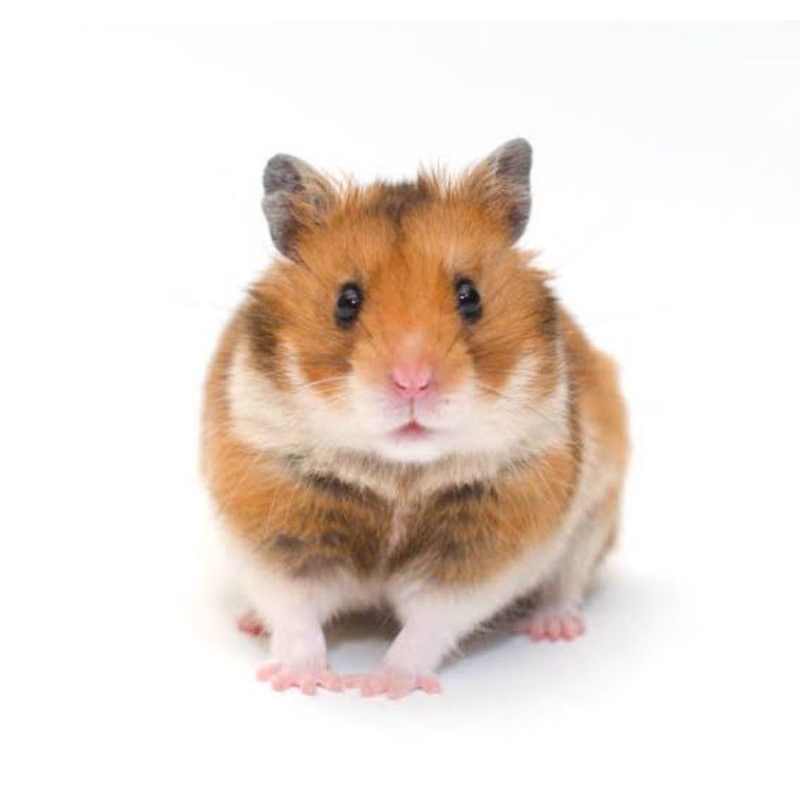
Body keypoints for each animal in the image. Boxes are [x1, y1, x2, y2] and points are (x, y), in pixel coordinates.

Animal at [202, 139, 628, 698]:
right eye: (346, 301)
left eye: (470, 296)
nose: (412, 382)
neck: (397, 473)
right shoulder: (274, 523)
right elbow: (295, 613)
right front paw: (300, 681)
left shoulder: (482, 546)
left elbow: (427, 624)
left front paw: (380, 685)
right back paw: (250, 622)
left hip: (596, 518)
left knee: (567, 583)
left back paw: (554, 628)